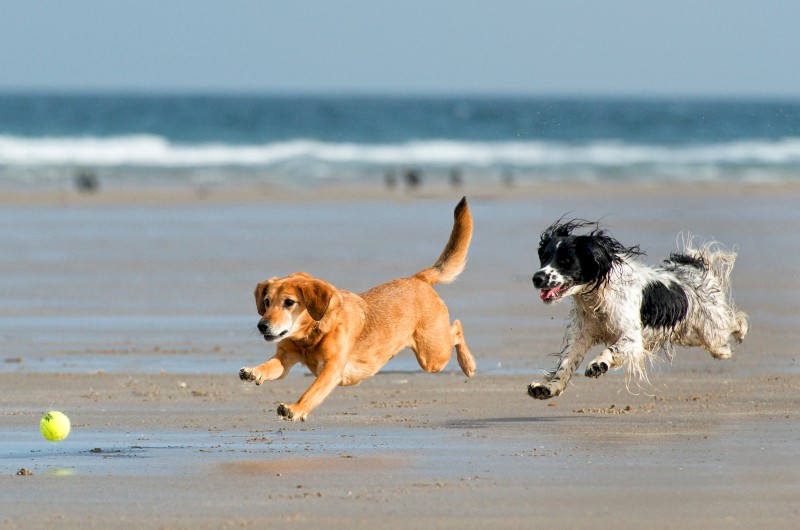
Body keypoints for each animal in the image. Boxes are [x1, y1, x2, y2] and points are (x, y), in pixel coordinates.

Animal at [239, 196, 476, 418]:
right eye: (267, 302)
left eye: (289, 302)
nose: (262, 326)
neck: (310, 335)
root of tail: (418, 279)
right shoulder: (285, 358)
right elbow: (269, 367)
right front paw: (253, 371)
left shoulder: (331, 369)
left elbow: (311, 392)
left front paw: (295, 409)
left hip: (433, 356)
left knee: (457, 328)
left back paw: (468, 364)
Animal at [528, 217, 748, 398]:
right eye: (544, 257)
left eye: (566, 261)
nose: (537, 278)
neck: (597, 300)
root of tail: (693, 265)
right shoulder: (581, 337)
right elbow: (566, 364)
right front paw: (548, 388)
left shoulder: (632, 338)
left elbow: (612, 349)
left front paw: (598, 364)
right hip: (689, 334)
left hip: (713, 332)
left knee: (733, 325)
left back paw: (741, 331)